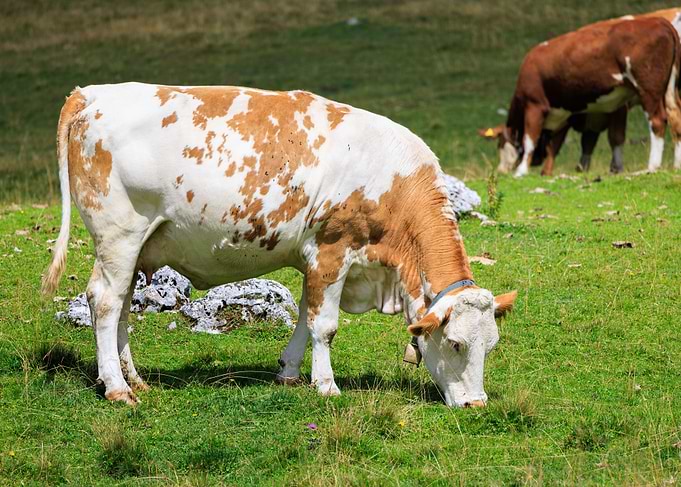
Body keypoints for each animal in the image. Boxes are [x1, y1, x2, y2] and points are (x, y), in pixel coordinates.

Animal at [41, 83, 517, 408]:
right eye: (455, 344)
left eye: (491, 345)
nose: (476, 405)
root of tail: (91, 93)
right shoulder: (332, 250)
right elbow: (325, 326)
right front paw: (326, 385)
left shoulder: (316, 262)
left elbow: (306, 318)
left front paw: (289, 373)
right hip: (119, 234)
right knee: (105, 303)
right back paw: (117, 388)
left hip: (135, 246)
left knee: (120, 306)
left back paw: (133, 378)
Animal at [481, 8, 681, 175]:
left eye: (500, 143)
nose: (501, 170)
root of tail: (660, 22)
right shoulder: (571, 112)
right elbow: (569, 144)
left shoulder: (534, 105)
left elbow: (530, 139)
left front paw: (521, 171)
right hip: (669, 90)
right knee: (675, 118)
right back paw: (677, 164)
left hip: (648, 89)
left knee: (657, 121)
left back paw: (652, 165)